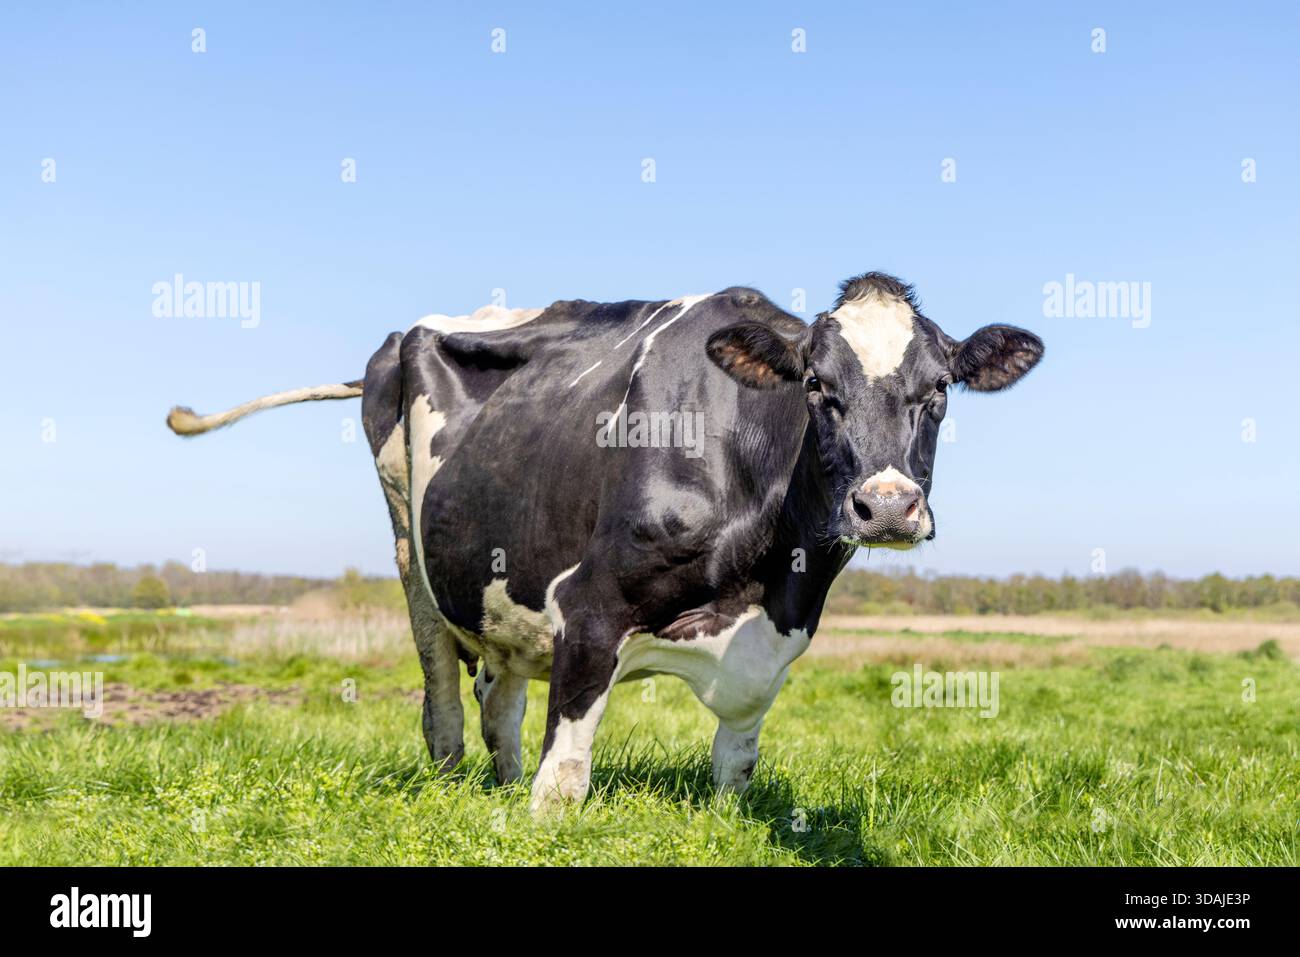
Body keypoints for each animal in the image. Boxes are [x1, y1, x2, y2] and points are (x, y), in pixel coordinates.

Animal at [167, 272, 1043, 814]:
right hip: (408, 549)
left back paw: (495, 785)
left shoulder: (771, 645)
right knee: (442, 697)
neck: (765, 572)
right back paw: (452, 782)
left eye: (939, 389)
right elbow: (562, 783)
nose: (887, 505)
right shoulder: (588, 613)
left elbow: (735, 770)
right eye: (818, 386)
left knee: (499, 700)